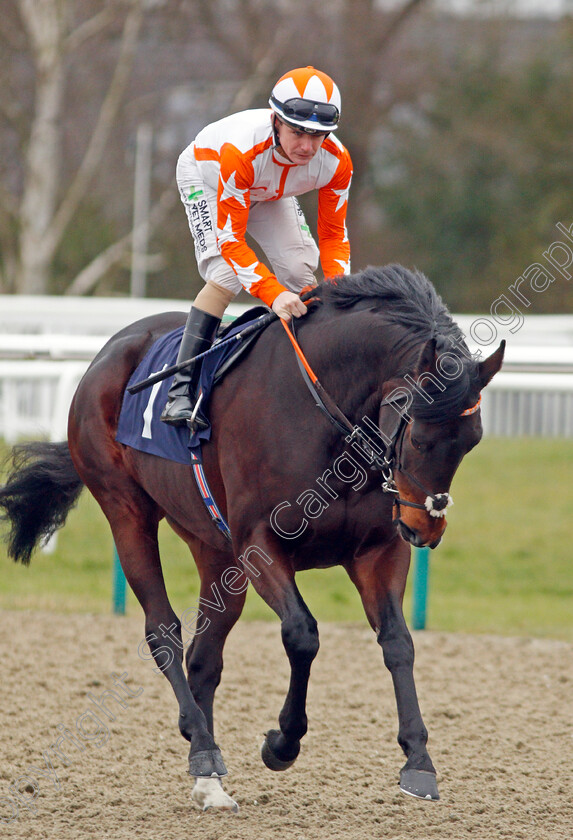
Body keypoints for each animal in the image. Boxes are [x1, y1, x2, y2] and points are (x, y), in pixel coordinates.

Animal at [0, 266, 500, 812]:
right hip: (126, 511)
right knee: (164, 633)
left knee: (203, 657)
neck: (329, 415)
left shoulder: (377, 550)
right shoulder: (261, 544)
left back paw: (209, 778)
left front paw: (418, 762)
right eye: (420, 437)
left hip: (215, 550)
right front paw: (282, 742)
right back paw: (204, 750)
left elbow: (398, 643)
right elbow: (302, 634)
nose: (426, 526)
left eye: (472, 440)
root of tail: (107, 353)